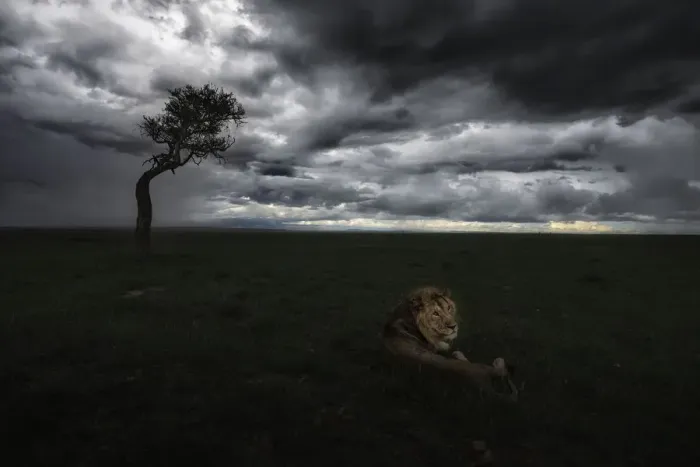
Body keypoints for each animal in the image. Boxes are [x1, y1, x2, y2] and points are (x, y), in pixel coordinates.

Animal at [382, 285, 518, 401]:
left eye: (449, 308)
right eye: (435, 314)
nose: (453, 326)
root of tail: (484, 386)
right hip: (478, 368)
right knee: (501, 371)